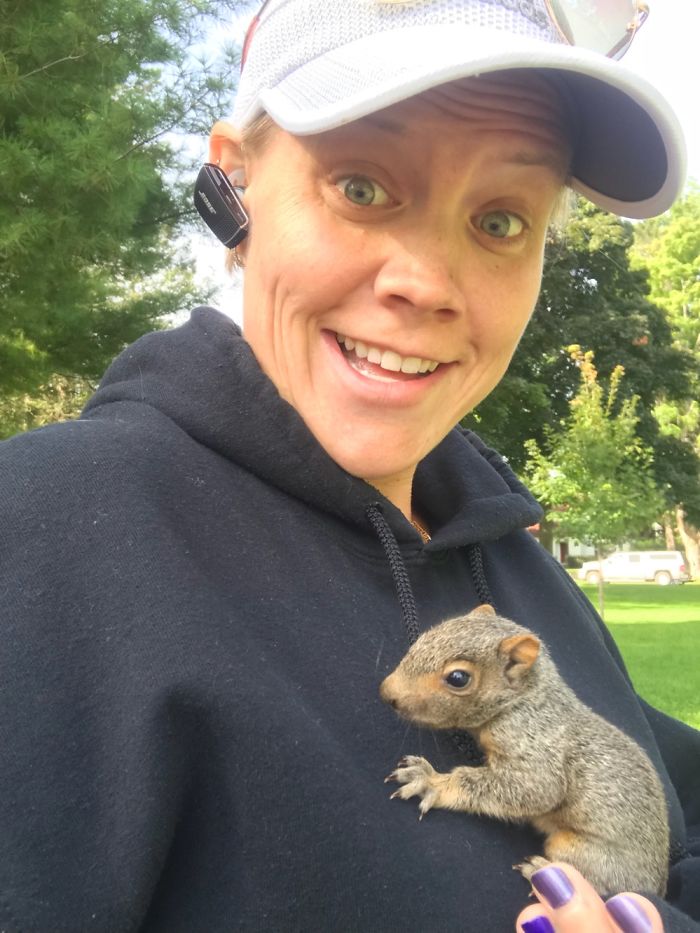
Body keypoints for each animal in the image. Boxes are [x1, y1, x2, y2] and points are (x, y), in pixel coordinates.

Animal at [380, 604, 669, 897]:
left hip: (586, 853)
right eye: (424, 637)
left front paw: (433, 782)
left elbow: (535, 789)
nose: (386, 692)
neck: (525, 699)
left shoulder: (534, 742)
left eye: (458, 678)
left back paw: (541, 871)